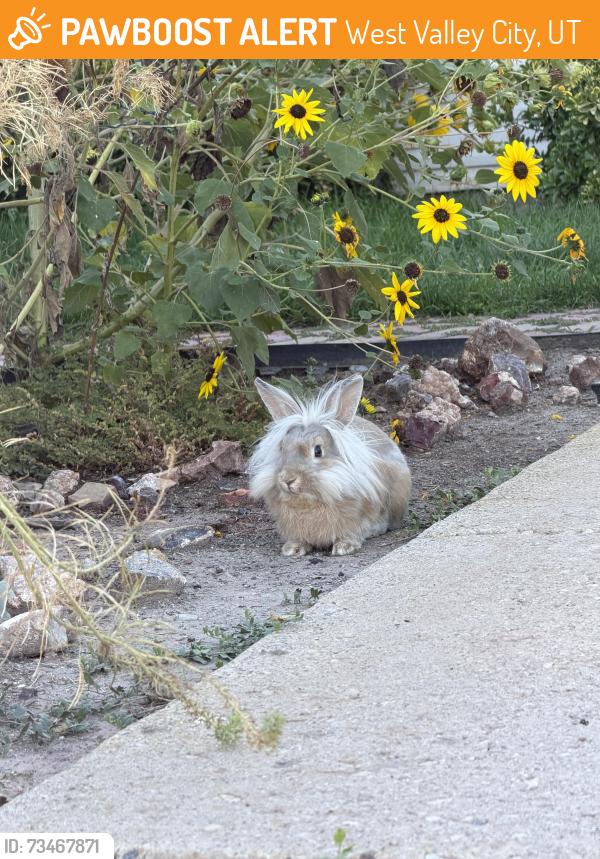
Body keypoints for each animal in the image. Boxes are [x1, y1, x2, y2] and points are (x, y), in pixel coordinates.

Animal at [249, 373, 411, 557]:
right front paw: (292, 549)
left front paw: (344, 547)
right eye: (282, 448)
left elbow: (353, 532)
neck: (307, 500)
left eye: (318, 451)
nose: (288, 479)